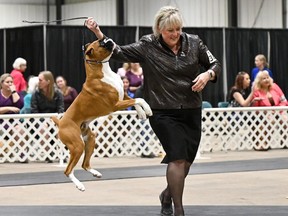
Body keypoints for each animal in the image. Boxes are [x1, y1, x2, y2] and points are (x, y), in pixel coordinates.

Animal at [51, 37, 153, 191]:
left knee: (85, 164)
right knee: (68, 170)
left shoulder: (124, 96)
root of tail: (61, 122)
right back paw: (79, 185)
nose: (108, 39)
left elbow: (136, 101)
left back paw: (95, 173)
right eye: (101, 43)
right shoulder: (115, 105)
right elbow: (139, 99)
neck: (102, 72)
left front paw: (142, 112)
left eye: (101, 39)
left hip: (90, 139)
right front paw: (147, 109)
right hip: (77, 146)